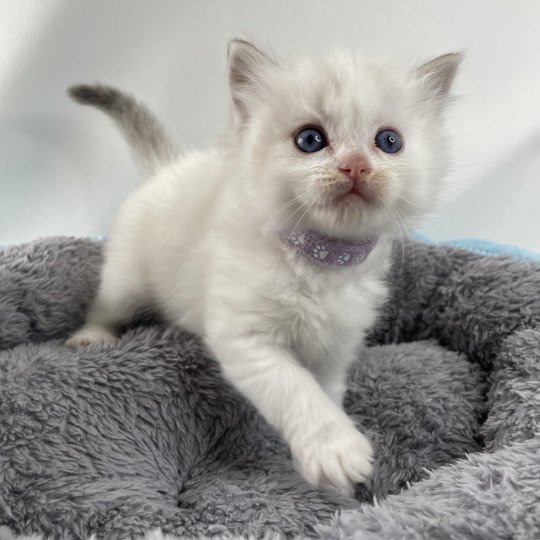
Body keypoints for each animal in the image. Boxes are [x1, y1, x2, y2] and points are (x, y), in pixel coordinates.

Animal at [66, 40, 460, 496]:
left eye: (389, 141)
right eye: (310, 139)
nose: (356, 165)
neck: (319, 263)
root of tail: (167, 167)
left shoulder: (334, 350)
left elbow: (326, 394)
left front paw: (332, 482)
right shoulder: (246, 338)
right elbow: (296, 389)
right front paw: (333, 448)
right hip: (127, 279)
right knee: (106, 306)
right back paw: (91, 336)